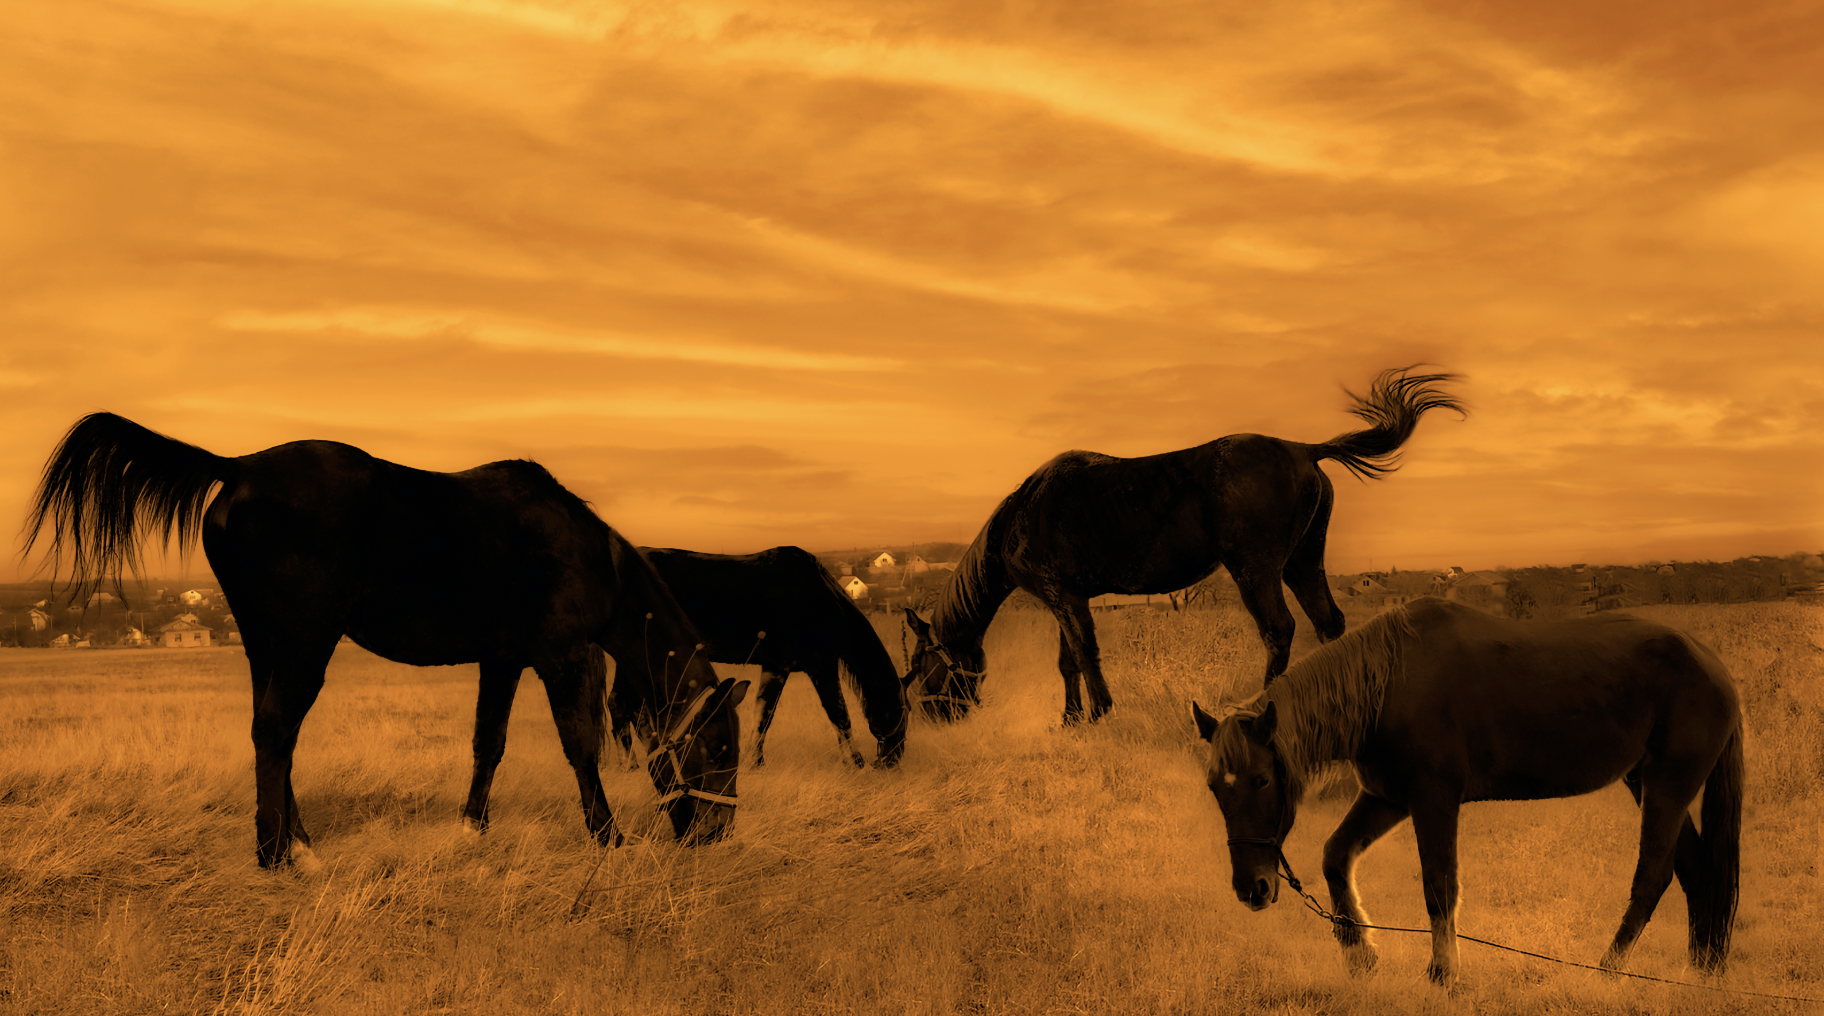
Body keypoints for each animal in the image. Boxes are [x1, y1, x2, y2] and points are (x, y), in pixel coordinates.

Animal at [22, 413, 749, 868]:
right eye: (719, 747)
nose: (716, 835)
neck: (593, 558)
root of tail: (240, 467)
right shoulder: (563, 656)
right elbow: (580, 746)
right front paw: (608, 837)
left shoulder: (503, 660)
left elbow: (489, 744)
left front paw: (472, 828)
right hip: (304, 642)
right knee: (275, 731)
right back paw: (276, 856)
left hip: (267, 643)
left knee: (270, 733)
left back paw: (299, 842)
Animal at [583, 545, 906, 768]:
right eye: (903, 711)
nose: (892, 761)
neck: (820, 598)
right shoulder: (821, 666)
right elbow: (839, 713)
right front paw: (855, 762)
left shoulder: (776, 667)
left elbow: (763, 715)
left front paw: (755, 762)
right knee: (621, 706)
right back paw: (633, 765)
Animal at [903, 366, 1463, 725]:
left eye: (924, 669)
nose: (935, 719)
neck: (1022, 516)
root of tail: (1305, 450)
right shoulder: (1067, 598)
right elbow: (1068, 660)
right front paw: (1071, 720)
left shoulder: (1063, 597)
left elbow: (1084, 653)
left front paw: (1099, 714)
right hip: (1303, 563)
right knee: (1328, 623)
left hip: (1255, 569)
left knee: (1279, 630)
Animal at [1192, 597, 1743, 984]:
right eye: (1216, 788)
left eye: (1262, 780)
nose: (1253, 889)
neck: (1388, 684)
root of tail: (1714, 665)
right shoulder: (1387, 798)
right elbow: (1335, 856)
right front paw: (1360, 954)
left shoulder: (1433, 800)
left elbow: (1439, 885)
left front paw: (1443, 974)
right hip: (1645, 783)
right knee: (1694, 871)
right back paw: (1700, 971)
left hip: (1668, 786)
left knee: (1653, 878)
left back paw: (1608, 971)